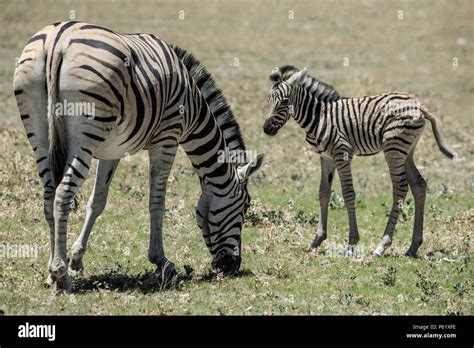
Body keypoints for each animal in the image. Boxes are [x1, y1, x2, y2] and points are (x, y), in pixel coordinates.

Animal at [12, 21, 262, 294]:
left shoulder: (112, 150)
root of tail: (58, 39)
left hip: (39, 133)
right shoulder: (167, 137)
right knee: (62, 195)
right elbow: (157, 202)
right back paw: (61, 275)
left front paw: (77, 258)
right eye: (245, 207)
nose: (232, 266)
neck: (193, 106)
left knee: (49, 195)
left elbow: (97, 201)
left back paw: (52, 272)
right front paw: (161, 261)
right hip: (85, 137)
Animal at [262, 67, 456, 258]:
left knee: (400, 189)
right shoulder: (326, 158)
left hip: (394, 148)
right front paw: (317, 241)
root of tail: (418, 104)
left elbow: (348, 194)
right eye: (268, 100)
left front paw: (351, 244)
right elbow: (323, 193)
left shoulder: (342, 153)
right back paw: (413, 247)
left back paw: (382, 246)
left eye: (285, 101)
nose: (266, 129)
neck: (319, 117)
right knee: (419, 185)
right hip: (407, 151)